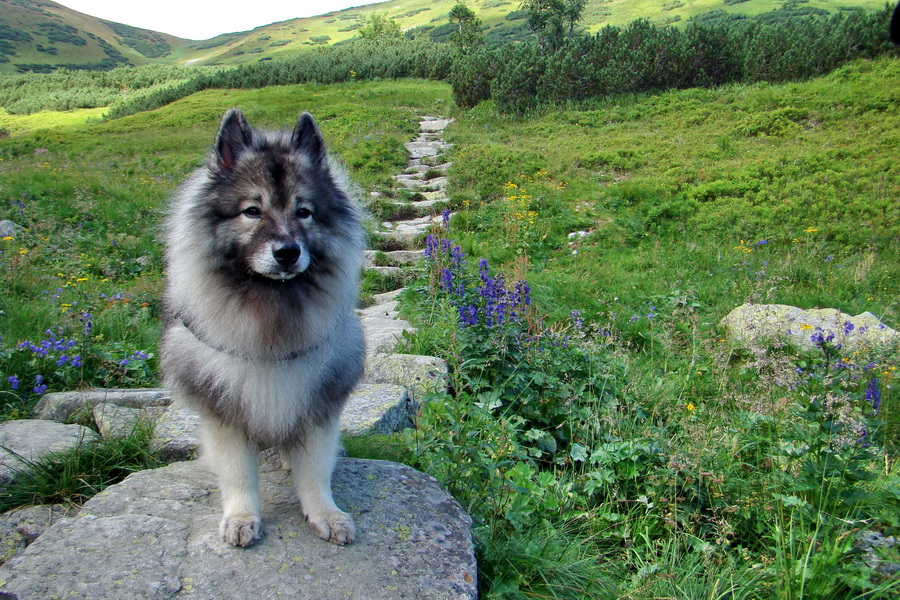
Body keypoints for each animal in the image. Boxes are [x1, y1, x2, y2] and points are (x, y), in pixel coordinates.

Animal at [159, 108, 366, 548]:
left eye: (304, 211)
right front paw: (241, 518)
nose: (287, 252)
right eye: (252, 211)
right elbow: (238, 473)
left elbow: (315, 472)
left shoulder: (317, 404)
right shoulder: (225, 410)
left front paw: (326, 514)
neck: (271, 310)